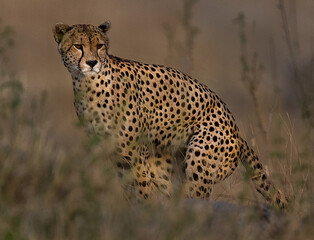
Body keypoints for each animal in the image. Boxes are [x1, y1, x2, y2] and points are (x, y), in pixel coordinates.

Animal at [53, 21, 288, 207]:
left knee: (198, 199)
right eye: (78, 46)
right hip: (165, 169)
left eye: (99, 46)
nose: (92, 62)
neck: (86, 84)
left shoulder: (136, 156)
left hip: (200, 158)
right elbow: (130, 192)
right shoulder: (117, 157)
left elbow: (142, 192)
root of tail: (237, 132)